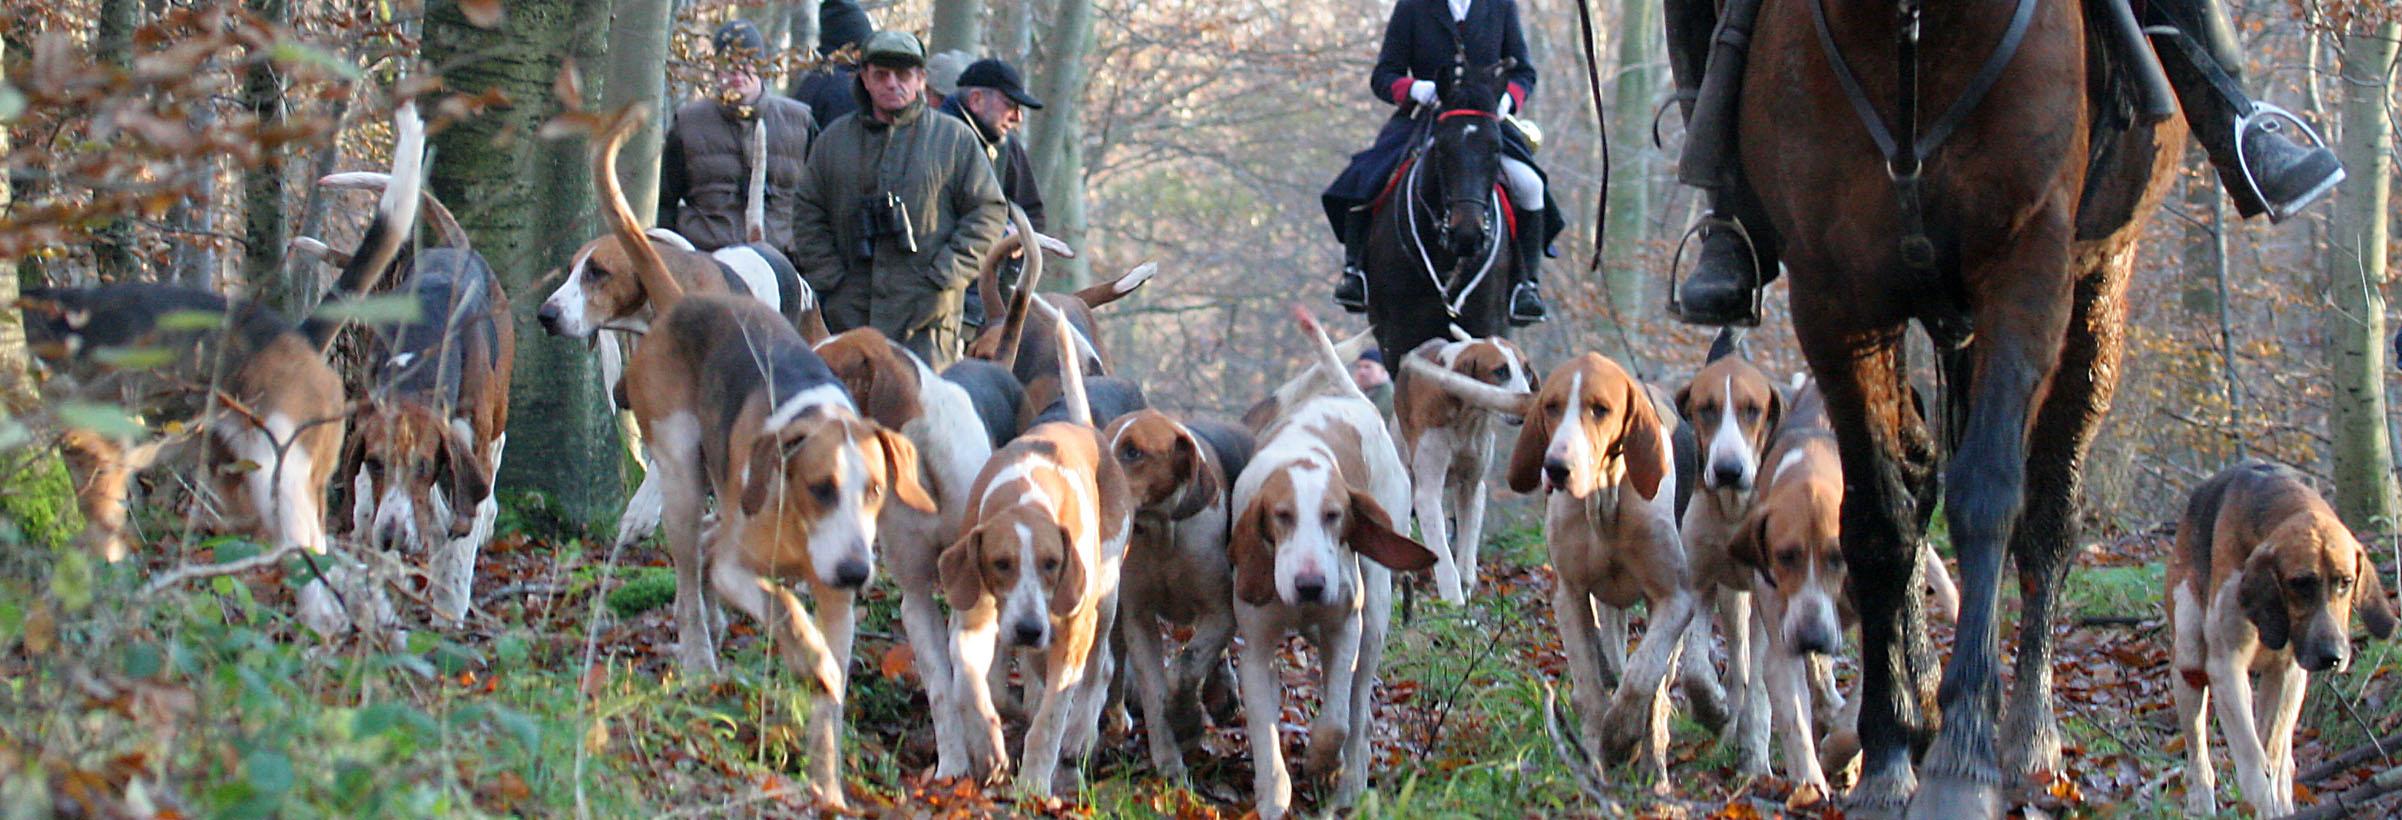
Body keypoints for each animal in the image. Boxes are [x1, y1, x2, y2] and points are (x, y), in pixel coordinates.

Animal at [1739, 0, 2190, 812]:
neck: (1916, 33)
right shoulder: (1833, 294)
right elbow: (1881, 514)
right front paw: (1891, 747)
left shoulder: (2028, 266)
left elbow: (1988, 497)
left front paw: (1963, 756)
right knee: (1918, 474)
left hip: (2099, 285)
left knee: (2049, 509)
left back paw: (2028, 736)